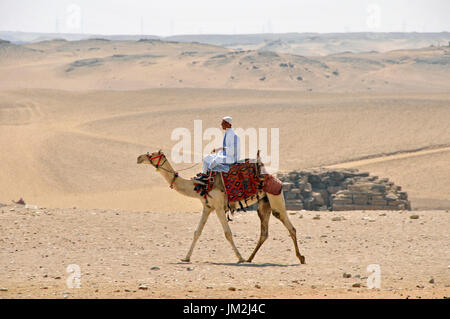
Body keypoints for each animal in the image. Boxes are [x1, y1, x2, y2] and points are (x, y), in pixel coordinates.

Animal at [137, 151, 306, 264]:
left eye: (151, 154)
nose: (139, 158)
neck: (200, 185)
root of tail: (277, 180)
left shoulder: (218, 207)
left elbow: (227, 233)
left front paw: (239, 257)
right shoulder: (207, 207)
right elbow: (197, 232)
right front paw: (186, 257)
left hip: (275, 197)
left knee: (290, 226)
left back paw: (301, 257)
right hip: (264, 203)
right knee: (264, 232)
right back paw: (250, 258)